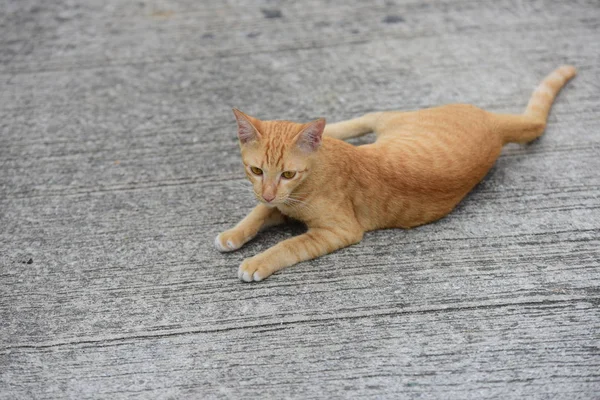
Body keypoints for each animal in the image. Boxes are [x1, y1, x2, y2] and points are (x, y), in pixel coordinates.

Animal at [214, 65, 576, 282]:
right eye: (256, 170)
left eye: (288, 174)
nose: (269, 191)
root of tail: (494, 123)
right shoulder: (277, 204)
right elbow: (258, 212)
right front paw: (233, 233)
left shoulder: (338, 230)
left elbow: (288, 245)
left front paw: (257, 262)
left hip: (394, 120)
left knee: (362, 118)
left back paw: (326, 129)